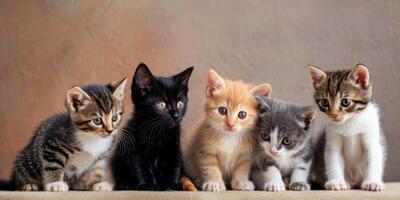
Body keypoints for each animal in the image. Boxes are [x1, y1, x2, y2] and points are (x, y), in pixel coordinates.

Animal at [112, 62, 194, 191]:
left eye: (180, 104)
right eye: (161, 105)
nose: (176, 116)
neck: (158, 133)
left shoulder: (175, 148)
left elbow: (174, 166)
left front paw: (171, 185)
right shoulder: (135, 149)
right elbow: (139, 167)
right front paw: (147, 185)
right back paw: (125, 185)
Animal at [308, 63, 386, 191]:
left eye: (345, 102)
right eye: (324, 102)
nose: (334, 115)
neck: (350, 121)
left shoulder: (372, 136)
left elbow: (373, 157)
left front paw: (372, 182)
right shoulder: (332, 138)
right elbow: (333, 159)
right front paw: (336, 182)